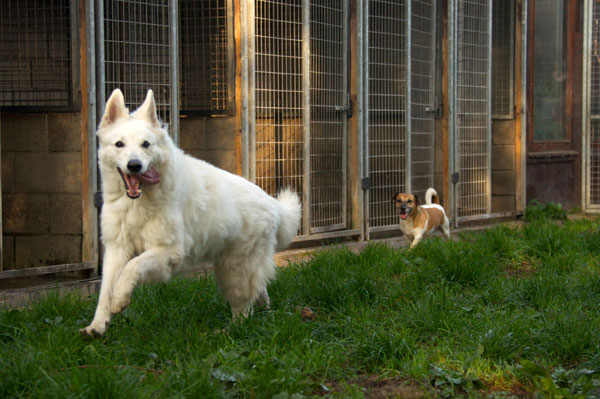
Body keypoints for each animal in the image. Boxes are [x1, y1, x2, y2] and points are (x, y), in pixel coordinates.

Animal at [82, 89, 302, 336]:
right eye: (119, 144)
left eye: (146, 144)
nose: (134, 165)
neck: (137, 203)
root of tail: (272, 203)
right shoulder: (117, 249)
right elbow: (105, 291)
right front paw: (98, 324)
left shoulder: (169, 252)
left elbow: (134, 266)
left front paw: (120, 298)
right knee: (259, 290)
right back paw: (266, 311)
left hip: (234, 269)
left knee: (244, 306)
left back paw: (231, 330)